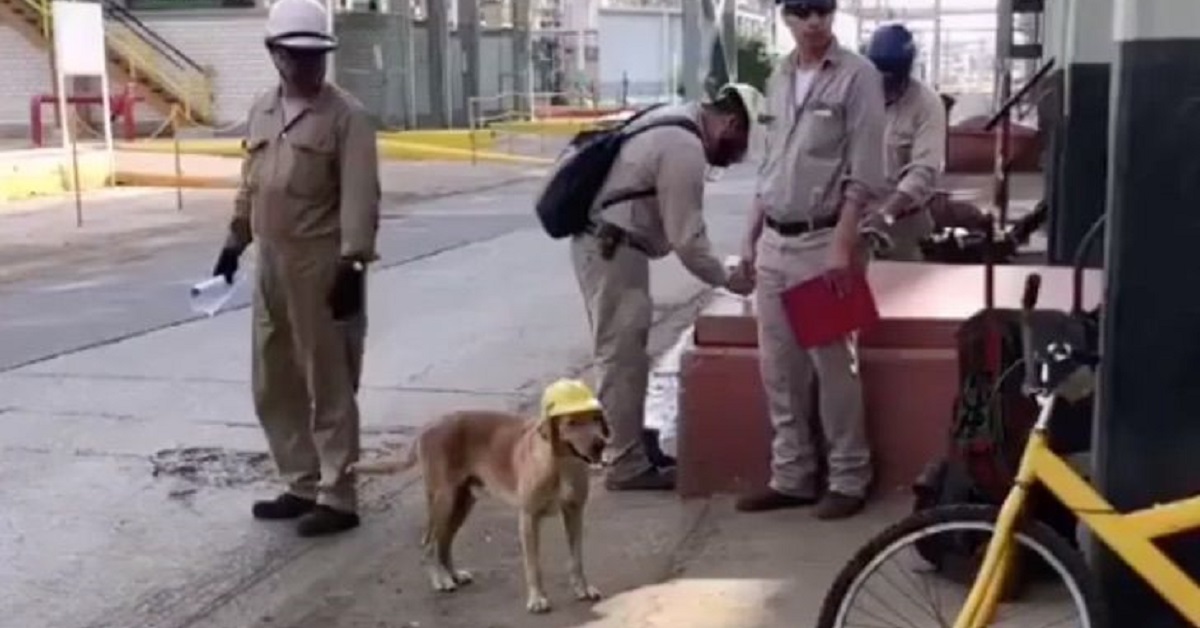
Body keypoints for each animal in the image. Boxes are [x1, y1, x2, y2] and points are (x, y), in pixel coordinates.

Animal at [348, 381, 609, 612]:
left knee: (445, 541)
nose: (600, 444)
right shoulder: (528, 517)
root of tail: (428, 425)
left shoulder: (574, 513)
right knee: (429, 542)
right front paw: (536, 599)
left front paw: (583, 589)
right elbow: (534, 565)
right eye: (571, 422)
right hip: (443, 499)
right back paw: (440, 579)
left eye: (595, 418)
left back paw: (452, 575)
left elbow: (577, 558)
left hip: (462, 502)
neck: (561, 463)